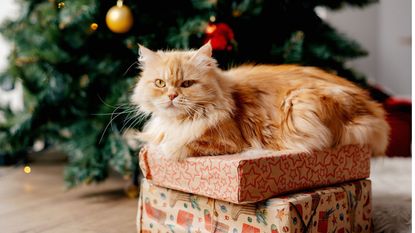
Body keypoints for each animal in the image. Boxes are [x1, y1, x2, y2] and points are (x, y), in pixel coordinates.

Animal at [132, 42, 392, 162]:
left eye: (186, 84)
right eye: (160, 83)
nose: (172, 96)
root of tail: (372, 109)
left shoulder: (225, 141)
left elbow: (179, 145)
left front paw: (166, 148)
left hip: (299, 104)